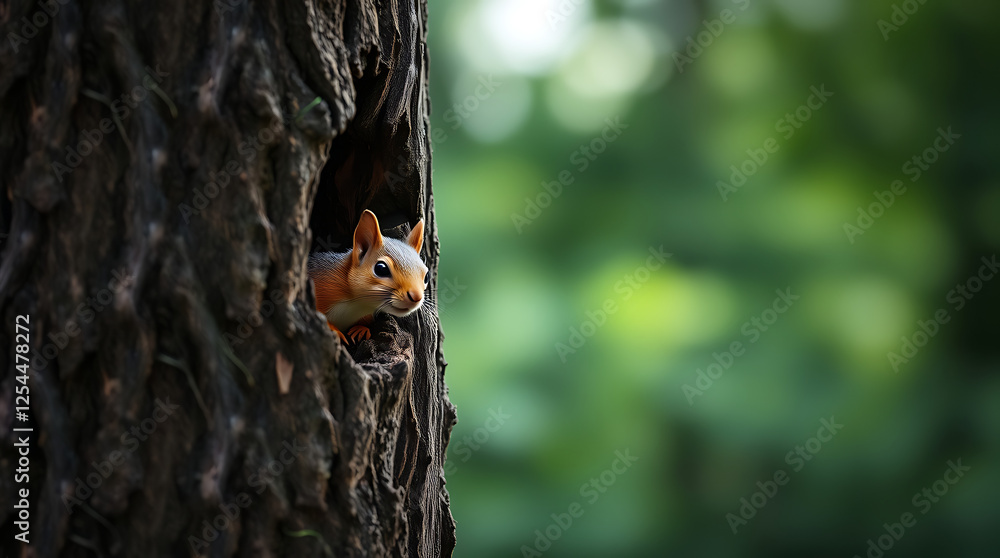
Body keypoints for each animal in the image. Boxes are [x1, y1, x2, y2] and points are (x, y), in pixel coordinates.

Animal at [308, 210, 428, 344]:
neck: (358, 304)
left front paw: (361, 329)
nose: (416, 296)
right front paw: (333, 329)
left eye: (426, 276)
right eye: (381, 269)